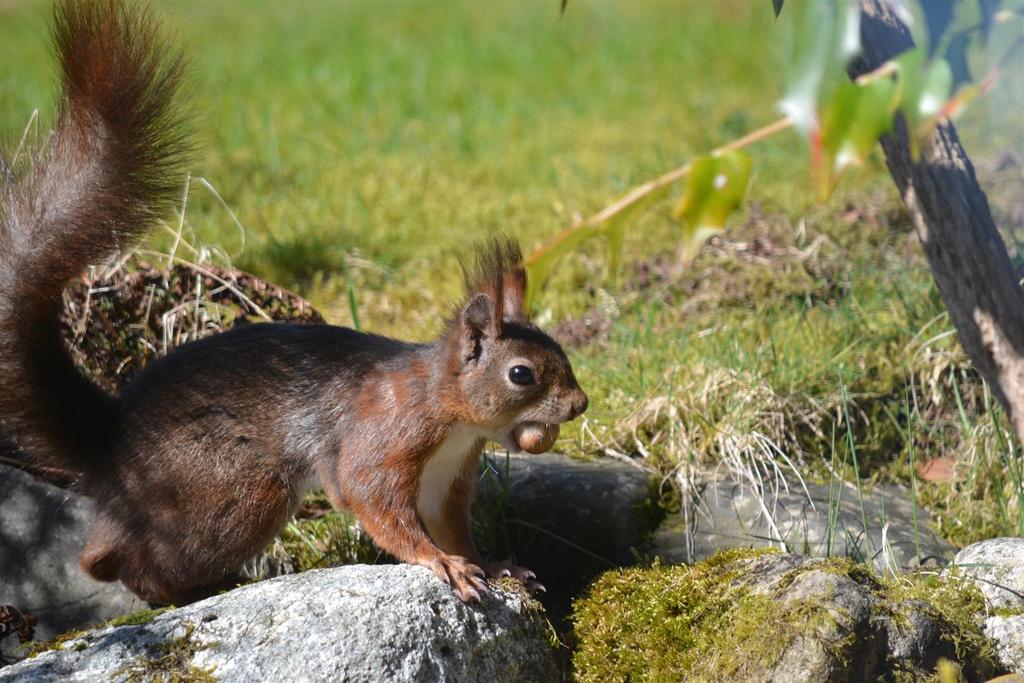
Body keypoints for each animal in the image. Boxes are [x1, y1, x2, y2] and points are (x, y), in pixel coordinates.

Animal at [0, 1, 589, 610]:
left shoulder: (447, 478)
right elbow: (373, 500)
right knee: (114, 560)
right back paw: (201, 586)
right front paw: (442, 564)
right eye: (521, 374)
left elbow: (451, 527)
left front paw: (494, 565)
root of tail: (108, 442)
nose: (580, 405)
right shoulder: (383, 440)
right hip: (232, 488)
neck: (450, 411)